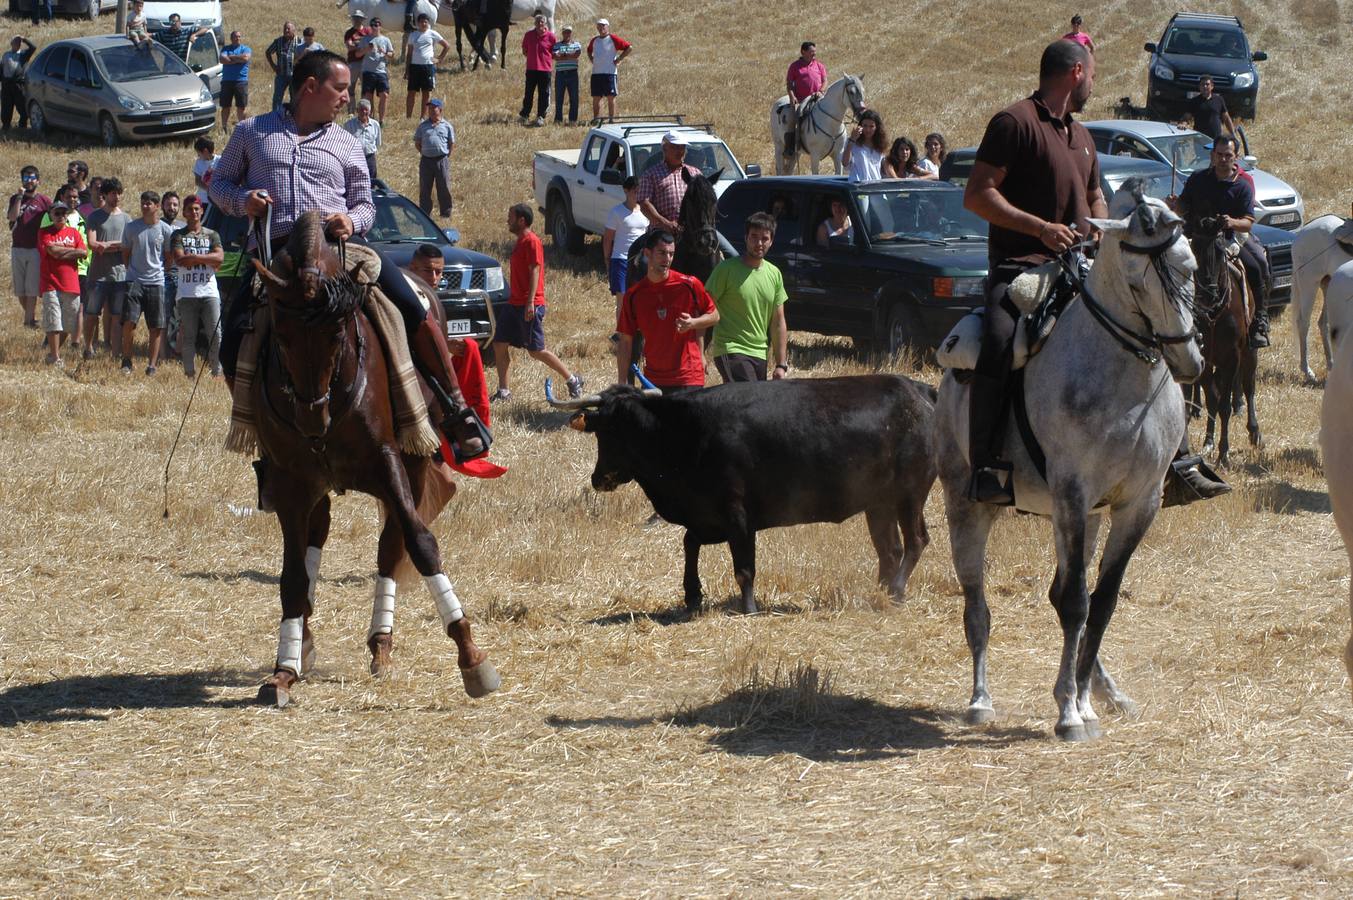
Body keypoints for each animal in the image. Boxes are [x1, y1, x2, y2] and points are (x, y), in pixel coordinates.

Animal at [246, 212, 500, 709]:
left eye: (337, 333)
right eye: (281, 336)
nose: (312, 416)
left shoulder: (387, 462)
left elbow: (420, 544)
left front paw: (471, 657)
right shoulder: (292, 481)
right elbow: (292, 575)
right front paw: (284, 670)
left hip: (414, 463)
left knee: (392, 546)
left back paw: (381, 644)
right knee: (320, 536)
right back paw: (306, 639)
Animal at [549, 376, 941, 614]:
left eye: (609, 431)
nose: (599, 479)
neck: (684, 432)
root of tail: (919, 390)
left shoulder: (737, 514)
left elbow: (744, 568)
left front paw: (748, 609)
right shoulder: (706, 517)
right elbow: (690, 544)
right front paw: (692, 594)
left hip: (910, 495)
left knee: (915, 541)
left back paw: (897, 591)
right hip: (879, 504)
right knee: (889, 550)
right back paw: (881, 592)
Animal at [930, 188, 1206, 736]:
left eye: (1189, 266)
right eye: (1137, 281)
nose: (1188, 363)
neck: (1122, 380)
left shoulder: (1136, 504)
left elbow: (1101, 602)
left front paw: (1083, 699)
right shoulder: (1074, 494)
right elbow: (1079, 602)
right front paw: (1069, 711)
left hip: (1076, 516)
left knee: (1064, 596)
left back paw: (1105, 691)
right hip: (970, 506)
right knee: (978, 606)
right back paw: (980, 700)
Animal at [1288, 213, 1353, 381]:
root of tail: (1303, 230)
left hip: (1328, 284)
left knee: (1323, 323)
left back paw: (1331, 365)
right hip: (1309, 284)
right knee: (1303, 323)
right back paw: (1307, 371)